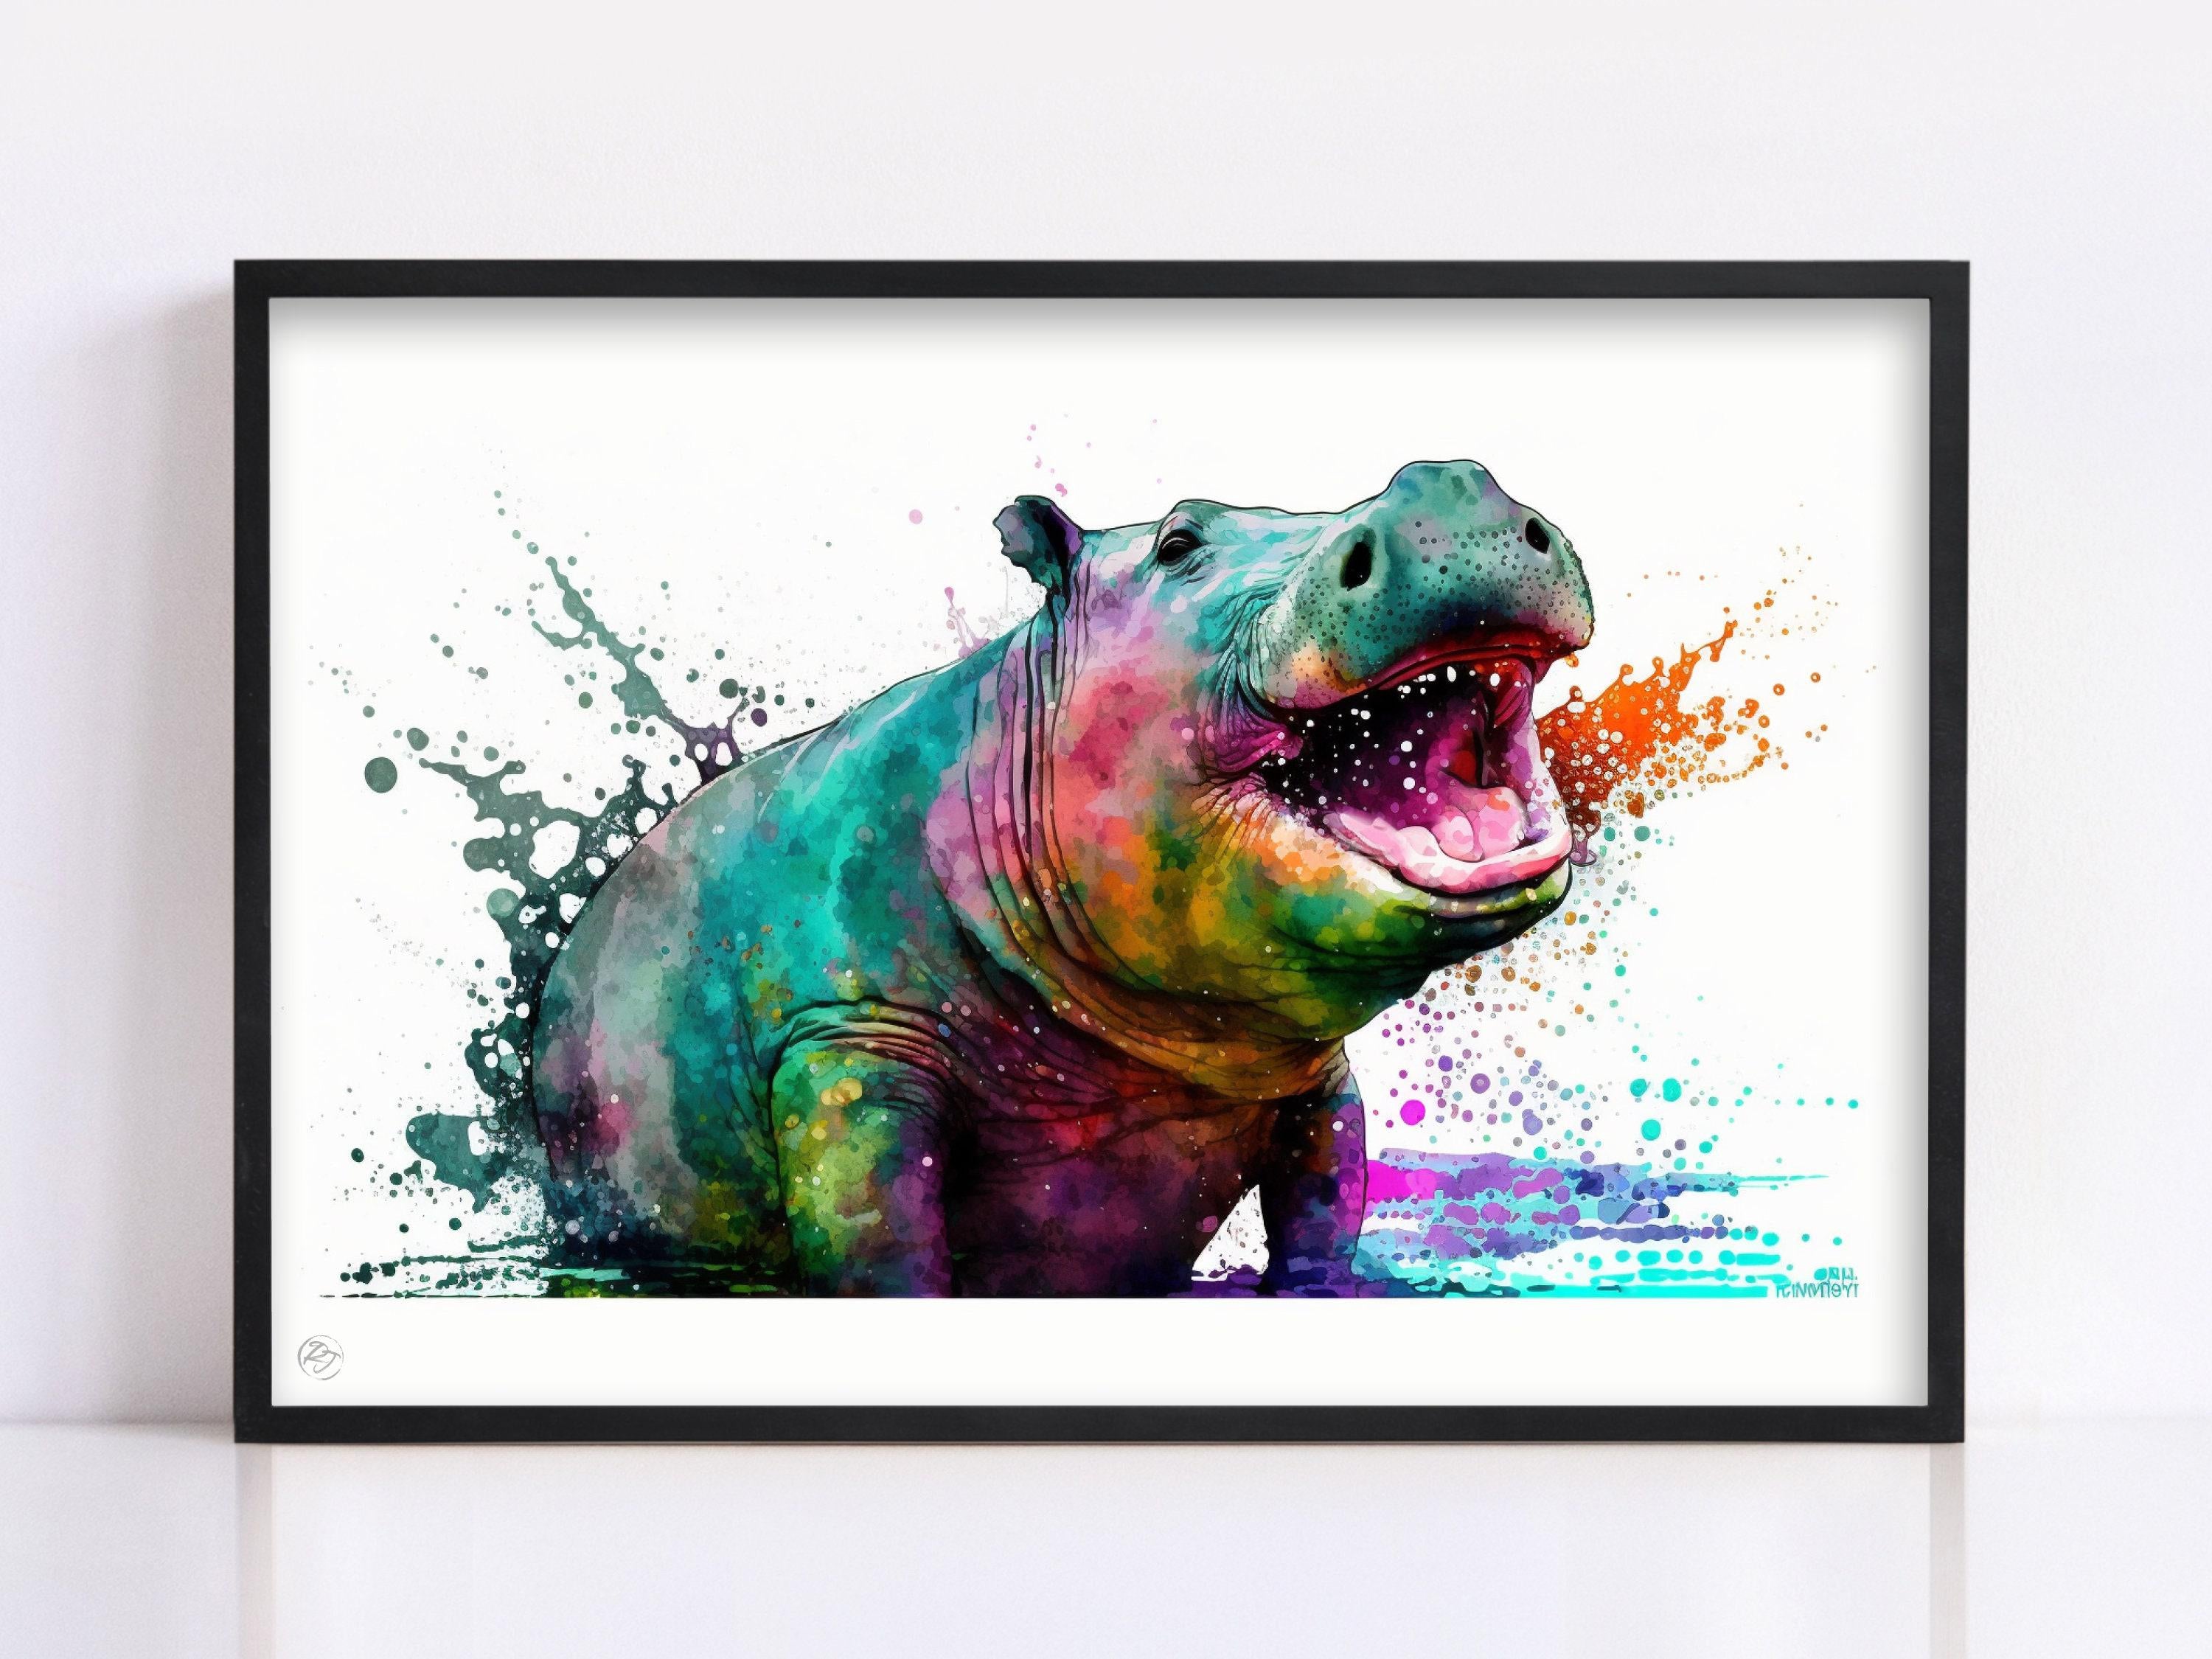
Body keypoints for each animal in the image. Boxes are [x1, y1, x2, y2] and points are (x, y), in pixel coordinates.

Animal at [532, 461, 1594, 1295]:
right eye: (1176, 542)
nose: (1446, 485)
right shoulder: (845, 1051)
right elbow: (881, 1245)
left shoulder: (1314, 1075)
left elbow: (1323, 1211)